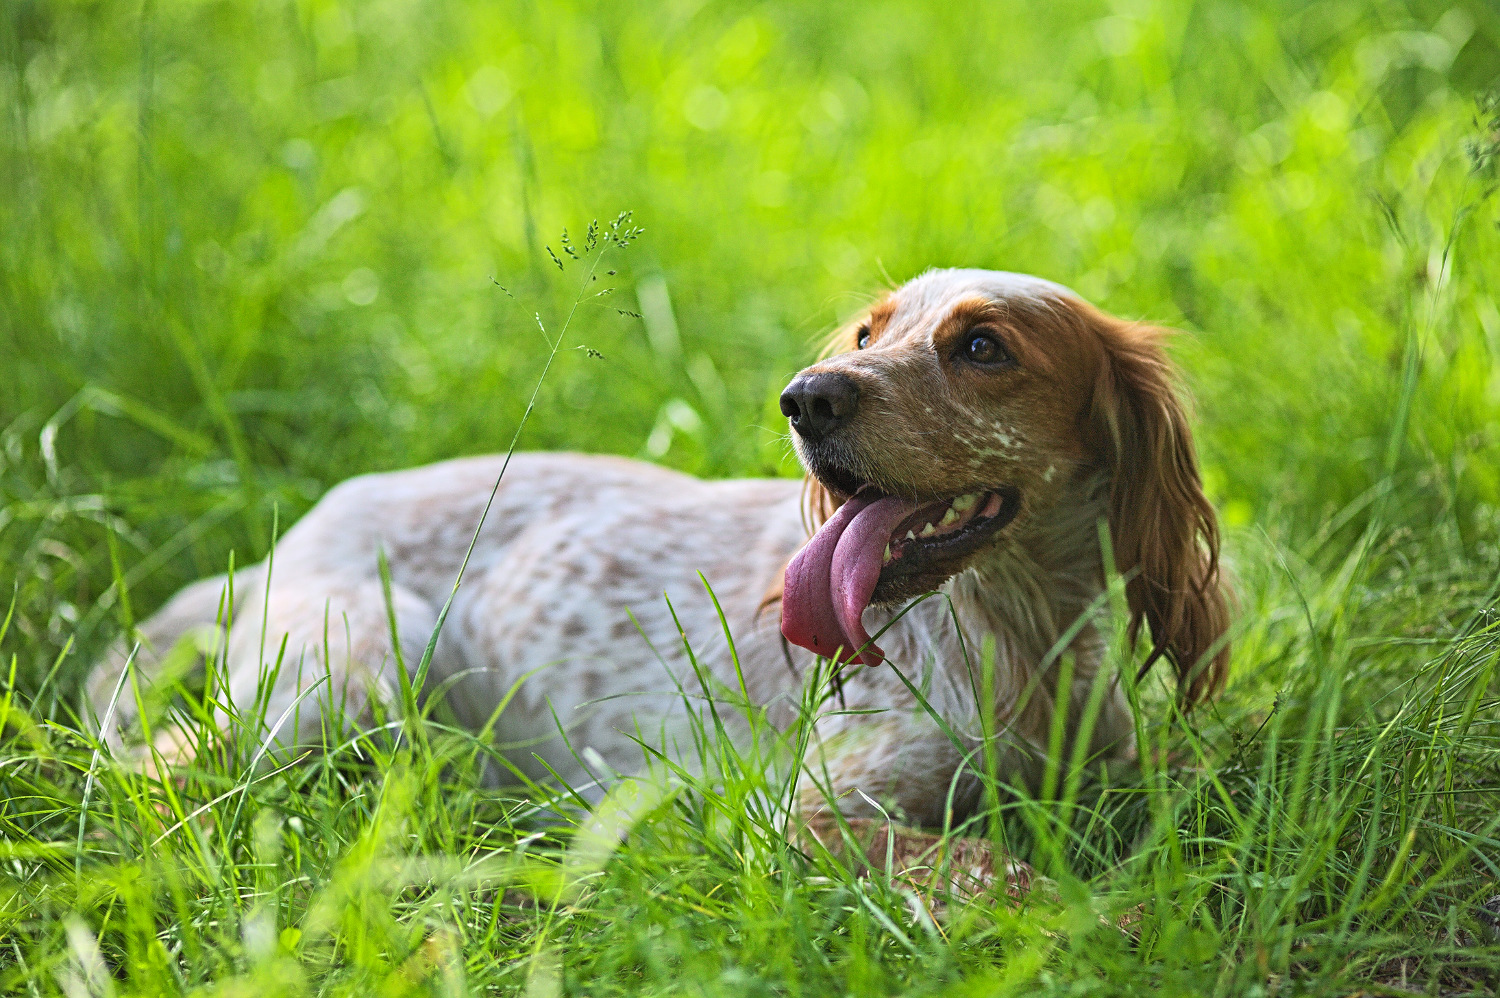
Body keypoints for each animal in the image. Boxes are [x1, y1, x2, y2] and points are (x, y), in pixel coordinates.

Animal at [85, 270, 1230, 864]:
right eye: (868, 333)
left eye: (984, 347)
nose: (806, 396)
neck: (1014, 633)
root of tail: (295, 532)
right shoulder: (815, 808)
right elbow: (996, 866)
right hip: (357, 665)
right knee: (156, 765)